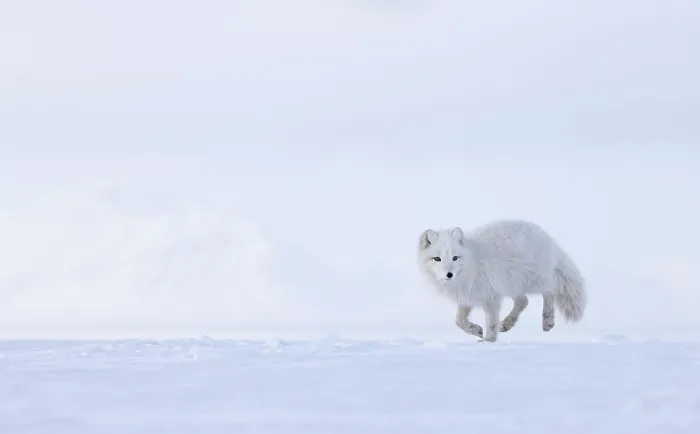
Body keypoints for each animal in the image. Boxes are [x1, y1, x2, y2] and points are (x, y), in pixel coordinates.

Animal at [417, 219, 586, 342]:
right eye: (437, 259)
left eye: (455, 257)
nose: (449, 274)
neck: (471, 263)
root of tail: (549, 239)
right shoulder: (468, 295)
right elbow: (459, 321)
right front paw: (476, 330)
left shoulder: (491, 297)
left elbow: (491, 322)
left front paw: (488, 341)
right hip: (513, 285)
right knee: (523, 301)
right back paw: (507, 323)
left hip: (533, 281)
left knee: (550, 291)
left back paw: (548, 321)